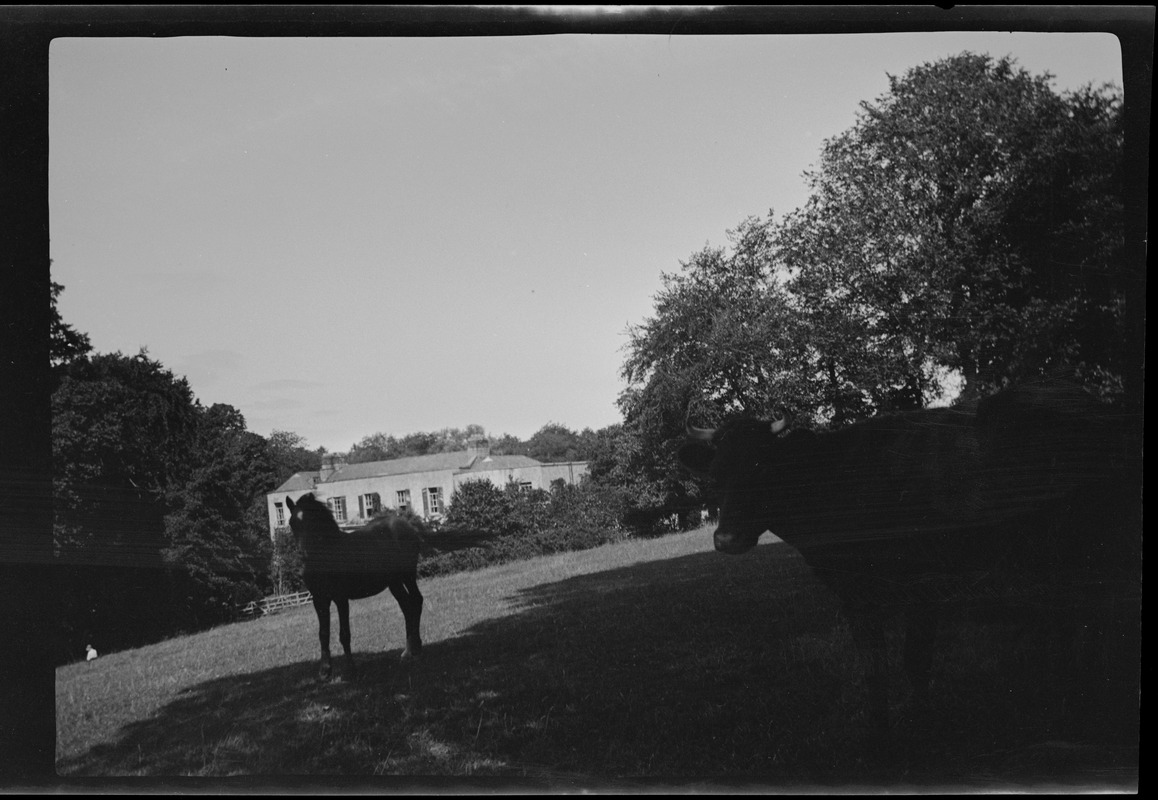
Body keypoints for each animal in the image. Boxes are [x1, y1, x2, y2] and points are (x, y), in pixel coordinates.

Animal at [287, 495, 486, 680]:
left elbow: (344, 634)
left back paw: (416, 650)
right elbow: (323, 634)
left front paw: (350, 670)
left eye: (313, 520)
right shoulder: (319, 600)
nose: (303, 555)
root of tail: (409, 526)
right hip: (394, 583)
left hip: (407, 575)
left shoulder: (341, 598)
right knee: (407, 606)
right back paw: (408, 652)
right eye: (292, 523)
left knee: (416, 601)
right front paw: (324, 672)